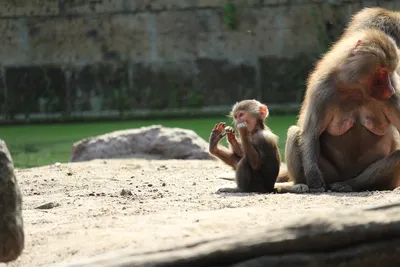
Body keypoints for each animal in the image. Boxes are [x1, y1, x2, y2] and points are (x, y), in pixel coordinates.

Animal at [276, 28, 400, 194]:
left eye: (390, 72)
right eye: (382, 71)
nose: (390, 90)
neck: (356, 88)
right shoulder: (322, 90)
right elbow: (310, 134)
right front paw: (314, 180)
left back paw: (349, 184)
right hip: (329, 173)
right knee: (295, 133)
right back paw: (299, 185)